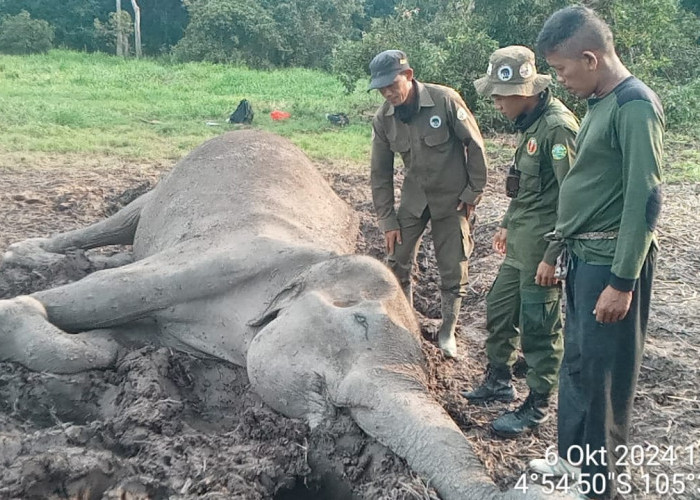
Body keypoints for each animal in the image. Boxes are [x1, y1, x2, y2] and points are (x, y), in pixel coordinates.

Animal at [0, 130, 544, 500]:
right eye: (359, 323)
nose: (531, 483)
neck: (311, 264)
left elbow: (139, 327)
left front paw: (107, 344)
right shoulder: (226, 255)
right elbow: (115, 292)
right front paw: (89, 338)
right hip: (167, 184)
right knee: (118, 225)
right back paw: (28, 254)